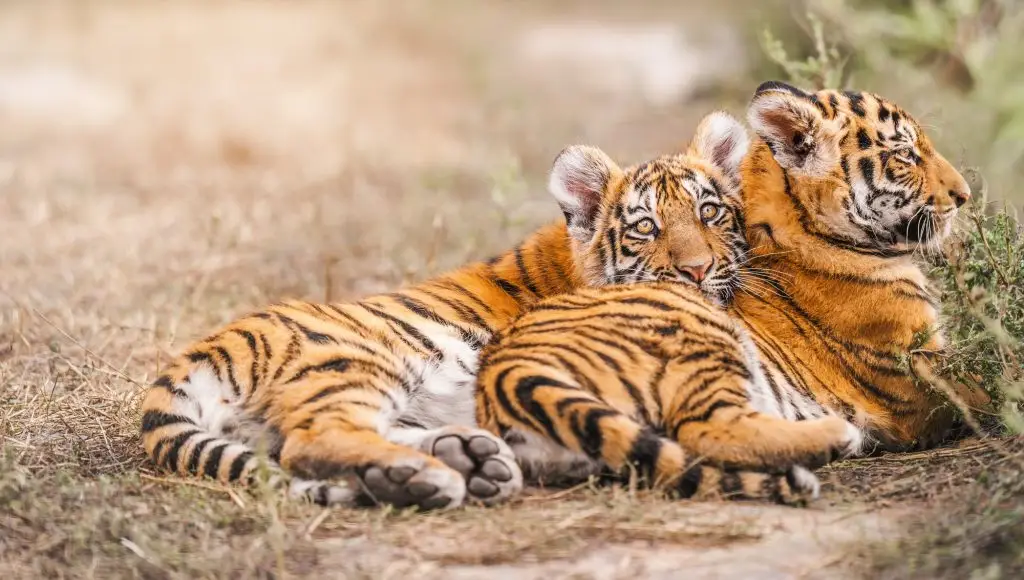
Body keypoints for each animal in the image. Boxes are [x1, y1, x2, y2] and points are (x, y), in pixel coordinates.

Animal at [139, 110, 819, 510]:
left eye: (710, 212)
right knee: (311, 438)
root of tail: (203, 350)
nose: (697, 271)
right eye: (645, 228)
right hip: (357, 363)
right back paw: (433, 475)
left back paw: (455, 464)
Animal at [475, 111, 861, 499]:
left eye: (709, 211)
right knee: (706, 428)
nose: (697, 270)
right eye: (646, 226)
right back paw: (837, 435)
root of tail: (505, 373)